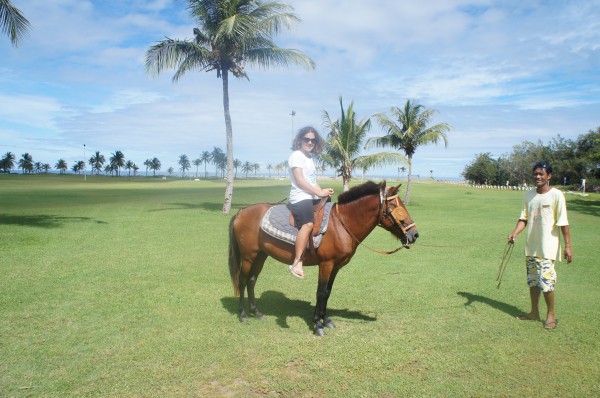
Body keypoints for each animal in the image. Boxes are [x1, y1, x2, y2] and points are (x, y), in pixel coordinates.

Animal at [227, 181, 420, 336]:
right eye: (398, 209)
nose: (414, 234)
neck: (341, 223)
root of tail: (241, 212)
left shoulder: (336, 266)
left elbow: (327, 292)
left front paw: (326, 320)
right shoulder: (326, 264)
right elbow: (320, 292)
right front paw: (317, 324)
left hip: (261, 255)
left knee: (252, 280)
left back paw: (256, 312)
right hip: (249, 256)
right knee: (242, 281)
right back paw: (243, 315)